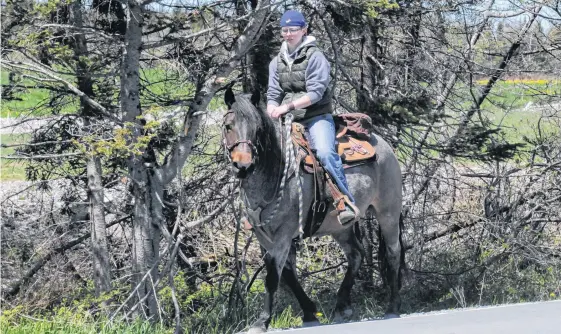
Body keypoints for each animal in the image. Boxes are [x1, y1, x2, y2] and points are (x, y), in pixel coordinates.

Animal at [222, 89, 402, 334]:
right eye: (228, 126)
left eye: (257, 129)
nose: (243, 165)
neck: (275, 172)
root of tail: (383, 143)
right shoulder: (265, 237)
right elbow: (287, 274)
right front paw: (309, 312)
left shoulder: (283, 234)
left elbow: (273, 277)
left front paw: (261, 322)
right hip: (340, 227)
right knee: (356, 254)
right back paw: (342, 306)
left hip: (388, 213)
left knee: (393, 254)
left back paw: (392, 307)